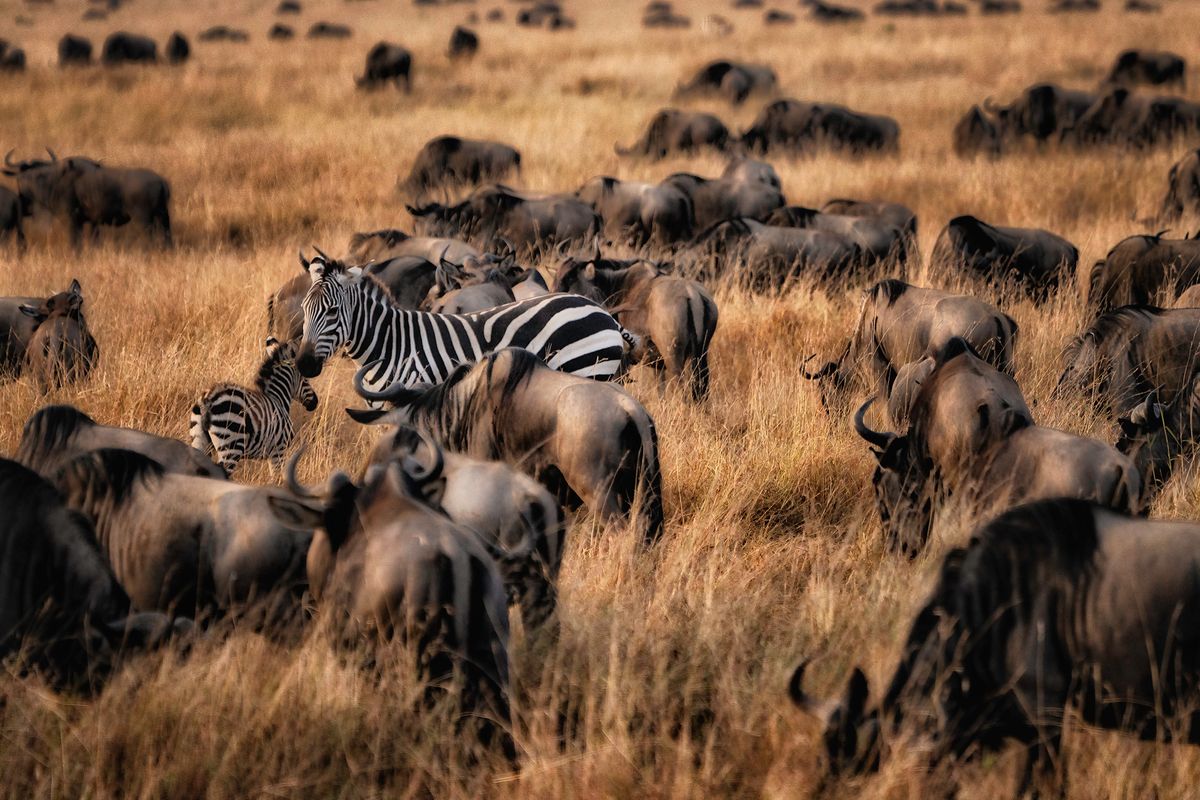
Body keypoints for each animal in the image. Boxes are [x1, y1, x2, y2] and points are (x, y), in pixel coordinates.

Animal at [189, 338, 319, 474]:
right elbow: (277, 476)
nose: (315, 402)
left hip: (200, 442)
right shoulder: (278, 450)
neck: (279, 398)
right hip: (231, 447)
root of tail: (208, 398)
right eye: (306, 380)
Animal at [292, 250, 638, 393]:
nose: (304, 365)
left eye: (332, 311)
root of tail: (601, 311)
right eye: (305, 310)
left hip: (589, 369)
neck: (392, 343)